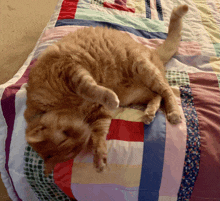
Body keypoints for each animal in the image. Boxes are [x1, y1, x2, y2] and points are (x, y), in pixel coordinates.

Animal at [24, 4, 189, 174]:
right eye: (72, 151)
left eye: (65, 137)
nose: (84, 136)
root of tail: (152, 51)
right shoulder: (101, 112)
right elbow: (100, 133)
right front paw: (99, 157)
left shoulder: (72, 71)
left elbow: (90, 88)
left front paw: (109, 97)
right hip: (135, 94)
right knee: (157, 95)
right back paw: (149, 112)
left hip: (143, 68)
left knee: (167, 91)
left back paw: (173, 113)